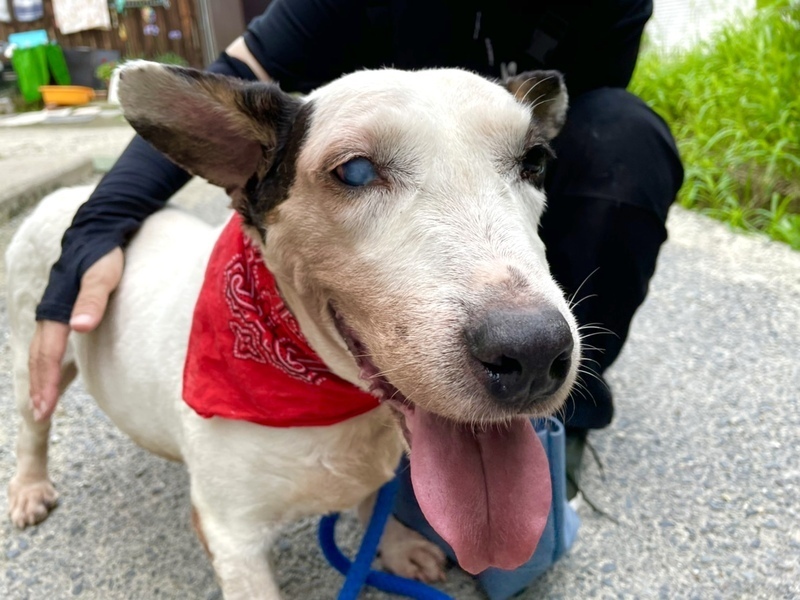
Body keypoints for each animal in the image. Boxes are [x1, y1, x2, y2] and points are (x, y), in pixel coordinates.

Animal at [6, 62, 580, 599]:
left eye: (535, 161)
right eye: (355, 171)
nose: (532, 352)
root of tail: (69, 194)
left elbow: (372, 505)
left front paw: (394, 546)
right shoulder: (233, 536)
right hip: (32, 356)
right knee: (33, 425)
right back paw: (30, 487)